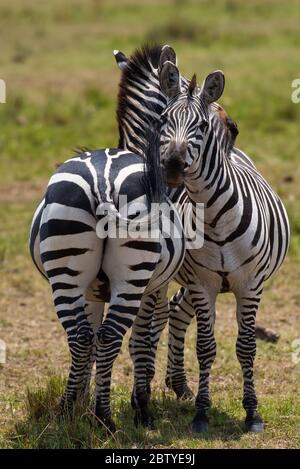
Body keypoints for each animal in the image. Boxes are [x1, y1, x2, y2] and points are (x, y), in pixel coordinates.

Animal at [30, 133, 185, 430]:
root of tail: (102, 184)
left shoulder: (91, 293)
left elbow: (91, 341)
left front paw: (81, 399)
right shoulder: (151, 290)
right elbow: (142, 339)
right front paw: (141, 406)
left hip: (66, 273)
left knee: (81, 337)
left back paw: (67, 411)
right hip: (132, 281)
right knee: (111, 336)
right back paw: (104, 417)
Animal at [156, 61, 290, 432]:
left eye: (201, 126)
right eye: (163, 119)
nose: (173, 165)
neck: (214, 218)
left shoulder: (250, 285)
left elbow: (246, 347)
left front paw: (252, 412)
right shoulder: (204, 284)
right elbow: (205, 347)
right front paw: (202, 412)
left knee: (177, 309)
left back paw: (179, 384)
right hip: (189, 279)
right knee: (173, 311)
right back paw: (178, 385)